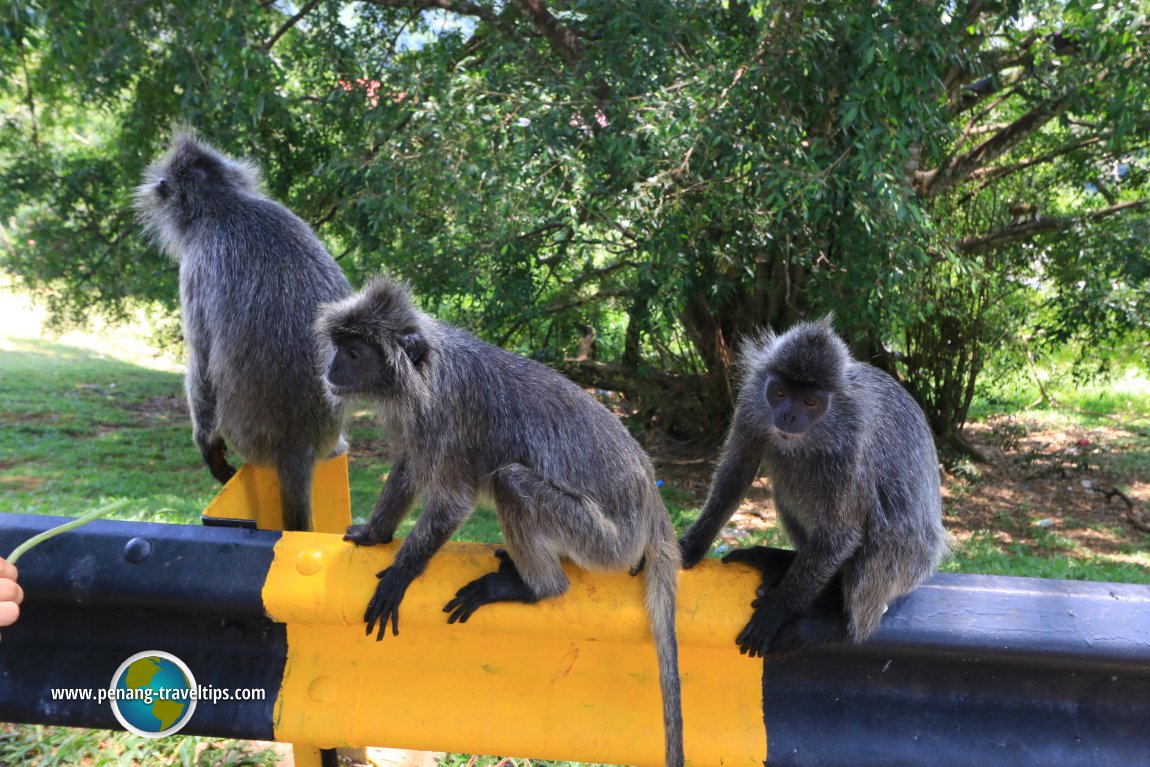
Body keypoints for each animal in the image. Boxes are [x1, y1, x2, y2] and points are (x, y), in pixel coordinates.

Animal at [135, 128, 349, 531]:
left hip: (247, 435)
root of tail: (297, 448)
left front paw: (208, 447)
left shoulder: (195, 265)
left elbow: (201, 359)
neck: (226, 206)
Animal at [315, 279, 680, 767]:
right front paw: (374, 534)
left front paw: (398, 576)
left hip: (602, 542)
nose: (331, 367)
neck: (429, 369)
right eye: (340, 348)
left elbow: (452, 502)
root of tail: (652, 502)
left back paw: (533, 588)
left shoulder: (447, 416)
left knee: (511, 482)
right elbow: (410, 466)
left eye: (354, 353)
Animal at [676, 315, 947, 657]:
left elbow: (841, 535)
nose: (788, 416)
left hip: (911, 561)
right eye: (779, 393)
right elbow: (735, 473)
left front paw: (779, 609)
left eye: (809, 402)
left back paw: (841, 625)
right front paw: (691, 546)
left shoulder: (852, 445)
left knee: (885, 530)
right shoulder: (752, 403)